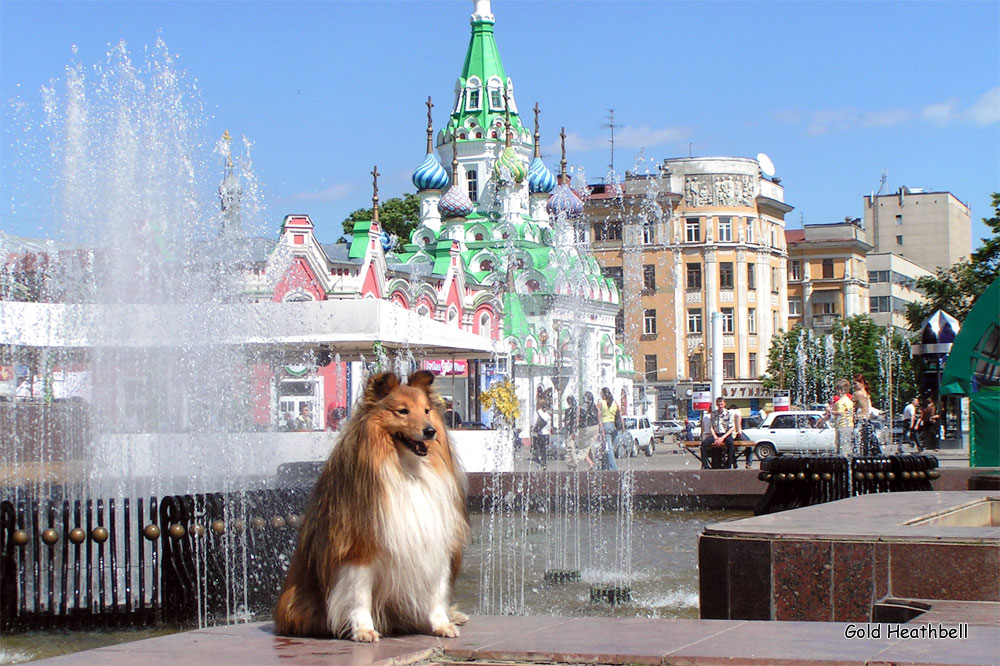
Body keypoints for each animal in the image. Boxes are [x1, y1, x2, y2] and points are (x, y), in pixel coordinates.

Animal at [276, 368, 470, 640]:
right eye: (403, 411)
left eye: (426, 410)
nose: (430, 431)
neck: (407, 470)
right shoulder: (359, 547)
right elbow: (359, 596)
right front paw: (363, 630)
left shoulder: (435, 542)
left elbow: (436, 592)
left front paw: (441, 625)